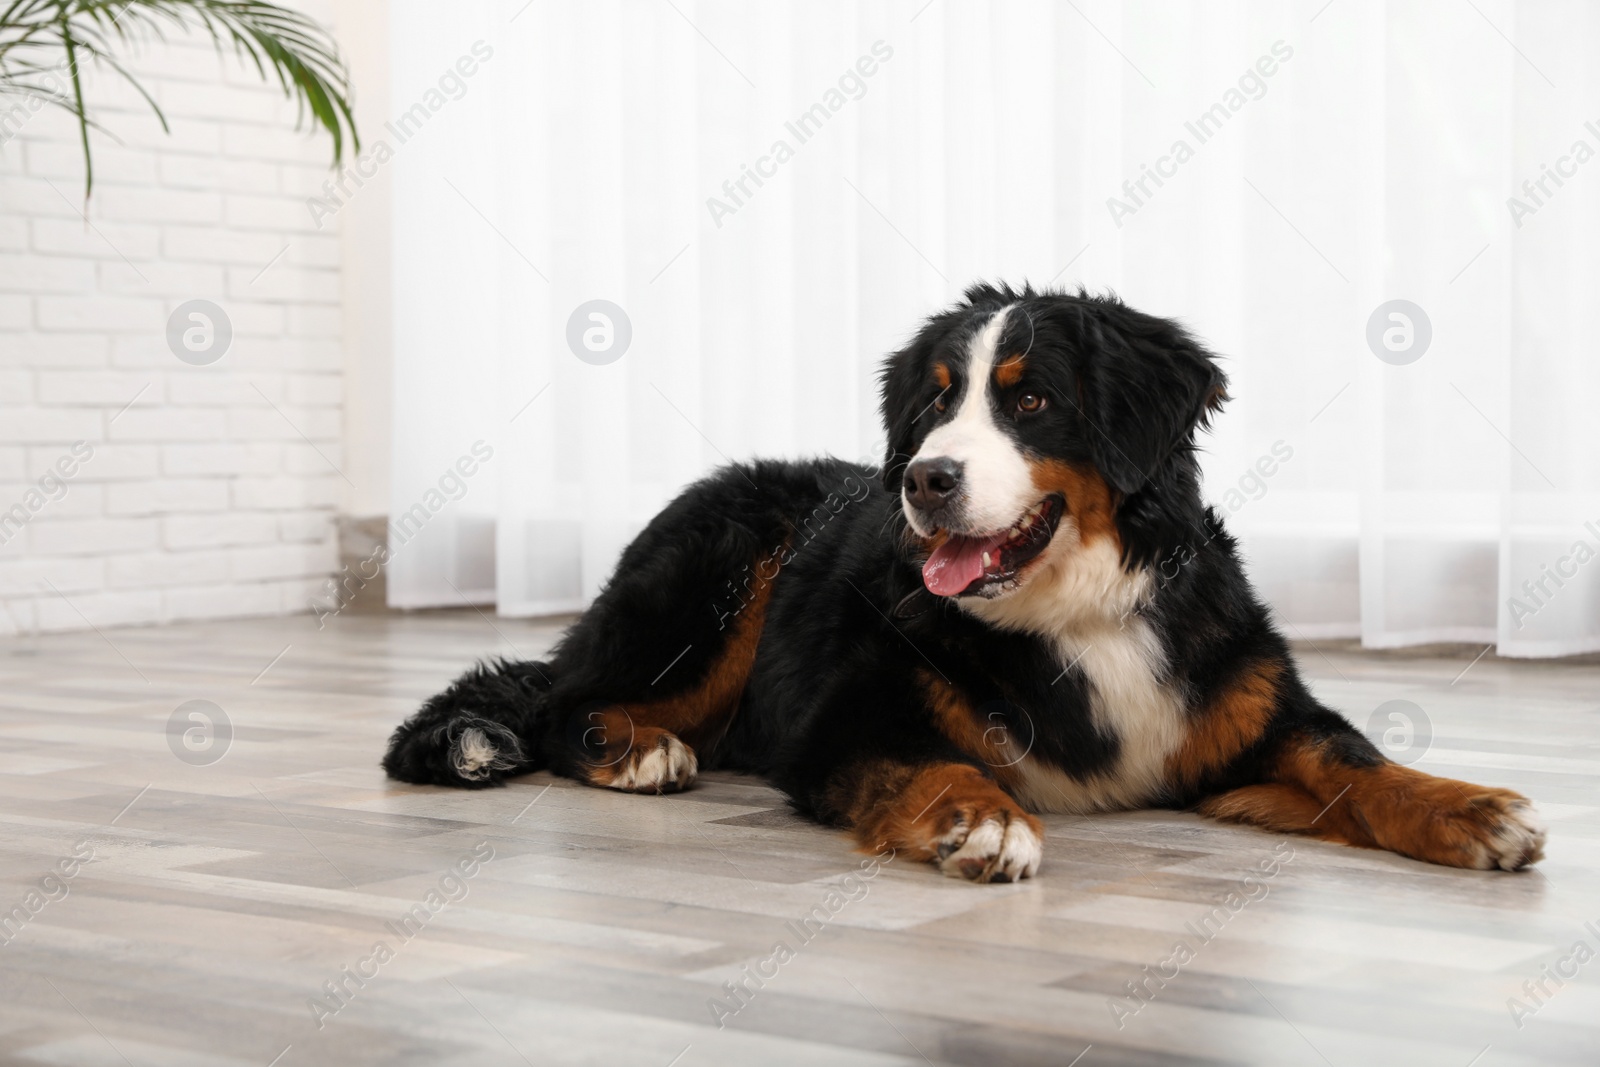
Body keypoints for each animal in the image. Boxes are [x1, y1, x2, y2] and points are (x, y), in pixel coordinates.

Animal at [380, 283, 1542, 883]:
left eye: (1029, 403)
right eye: (937, 404)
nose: (924, 478)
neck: (1076, 610)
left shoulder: (1248, 717)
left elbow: (1356, 759)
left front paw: (1471, 806)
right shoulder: (844, 717)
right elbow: (931, 761)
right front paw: (977, 820)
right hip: (722, 566)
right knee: (565, 701)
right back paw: (636, 749)